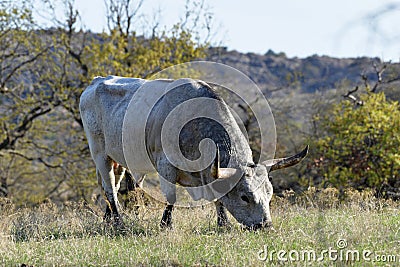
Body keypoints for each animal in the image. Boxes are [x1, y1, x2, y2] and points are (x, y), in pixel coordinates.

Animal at [79, 76, 308, 230]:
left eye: (269, 194)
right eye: (245, 197)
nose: (266, 225)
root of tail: (97, 81)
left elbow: (218, 198)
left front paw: (223, 225)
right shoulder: (165, 165)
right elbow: (170, 197)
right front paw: (166, 225)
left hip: (117, 158)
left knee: (113, 186)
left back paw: (108, 219)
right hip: (99, 153)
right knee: (110, 187)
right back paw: (119, 223)